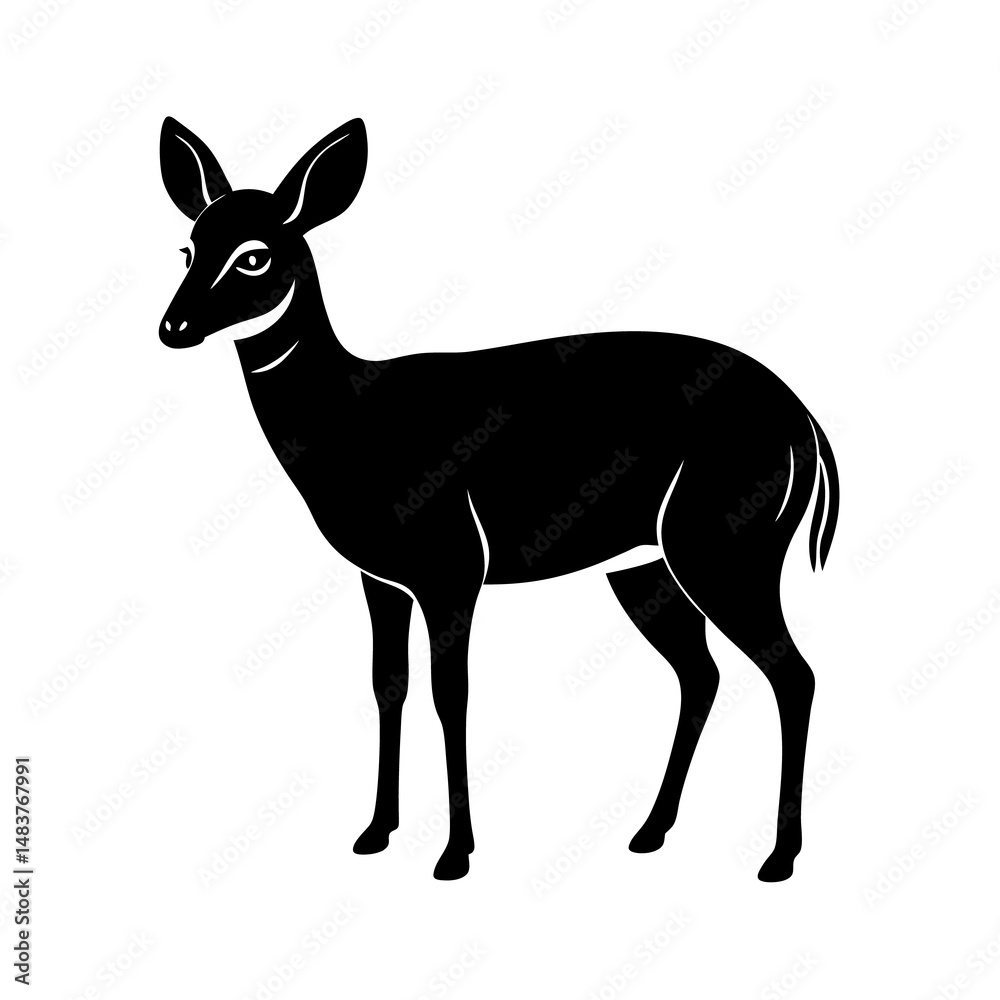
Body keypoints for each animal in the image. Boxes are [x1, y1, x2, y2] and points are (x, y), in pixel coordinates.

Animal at [158, 115, 839, 882]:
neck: (354, 422)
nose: (173, 328)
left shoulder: (452, 566)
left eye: (253, 256)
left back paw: (778, 857)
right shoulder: (380, 577)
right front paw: (375, 832)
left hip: (723, 547)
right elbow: (387, 684)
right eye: (187, 246)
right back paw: (650, 832)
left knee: (792, 674)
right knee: (703, 674)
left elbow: (449, 694)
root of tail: (805, 422)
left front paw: (454, 854)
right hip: (646, 567)